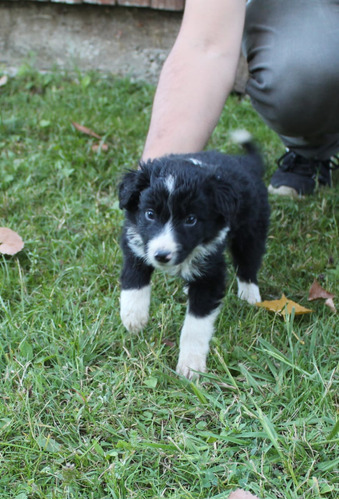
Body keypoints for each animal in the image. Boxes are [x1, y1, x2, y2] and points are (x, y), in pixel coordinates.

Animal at [119, 133, 270, 378]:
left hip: (252, 228)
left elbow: (196, 325)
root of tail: (245, 164)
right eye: (150, 214)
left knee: (248, 261)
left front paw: (190, 366)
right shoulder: (136, 240)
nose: (162, 256)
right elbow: (133, 277)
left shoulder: (211, 272)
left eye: (191, 220)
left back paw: (249, 295)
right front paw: (133, 316)